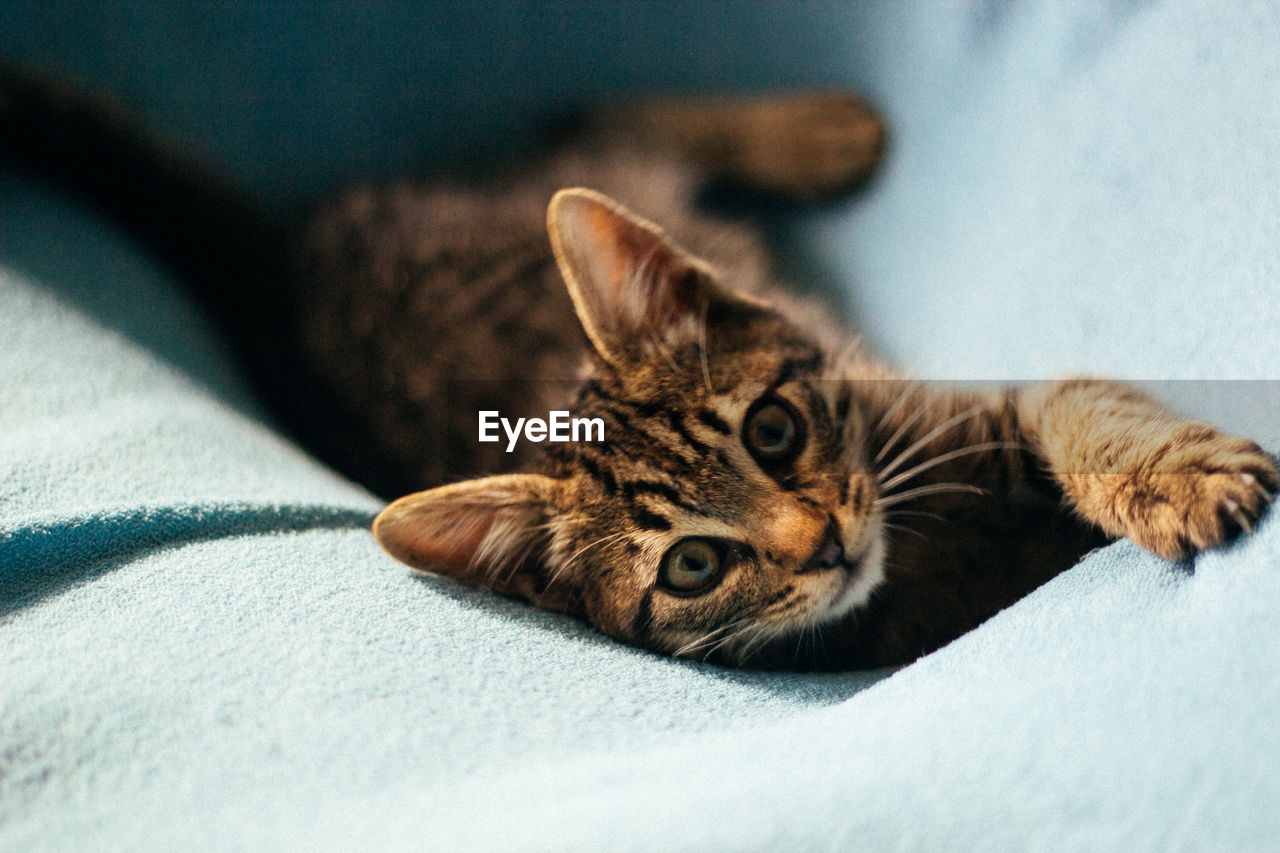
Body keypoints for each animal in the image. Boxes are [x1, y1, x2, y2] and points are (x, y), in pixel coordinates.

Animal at [5, 66, 1274, 666]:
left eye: (771, 431)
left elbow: (1082, 405)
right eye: (693, 566)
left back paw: (818, 133)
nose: (824, 542)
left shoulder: (982, 403)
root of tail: (274, 261)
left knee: (587, 119)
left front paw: (1169, 476)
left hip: (578, 177)